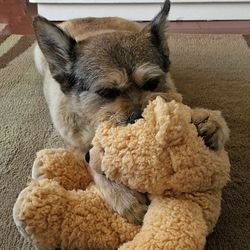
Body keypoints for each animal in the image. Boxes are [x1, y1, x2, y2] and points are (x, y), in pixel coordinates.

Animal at [32, 0, 229, 225]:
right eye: (106, 92)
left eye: (152, 83)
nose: (139, 117)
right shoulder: (77, 147)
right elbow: (94, 162)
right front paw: (124, 196)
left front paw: (207, 119)